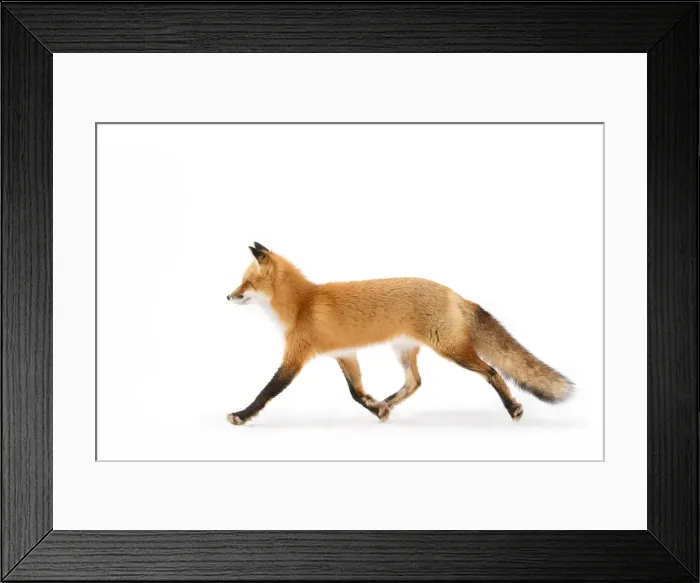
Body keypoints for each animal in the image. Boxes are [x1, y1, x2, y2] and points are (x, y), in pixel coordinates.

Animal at [226, 242, 573, 426]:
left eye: (246, 283)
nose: (228, 297)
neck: (301, 304)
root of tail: (454, 293)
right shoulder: (345, 354)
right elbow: (356, 392)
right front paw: (376, 406)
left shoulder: (295, 357)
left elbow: (266, 392)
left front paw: (242, 415)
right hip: (404, 350)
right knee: (414, 382)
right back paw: (388, 404)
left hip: (451, 349)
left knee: (491, 371)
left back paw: (513, 408)